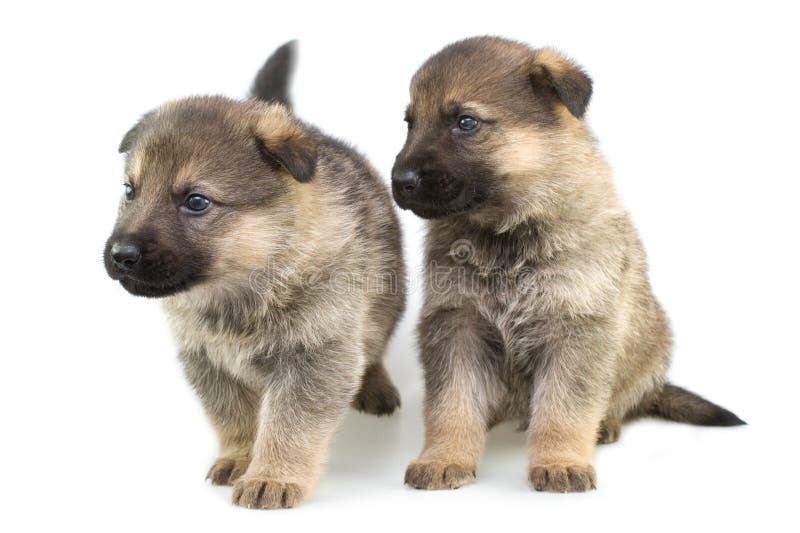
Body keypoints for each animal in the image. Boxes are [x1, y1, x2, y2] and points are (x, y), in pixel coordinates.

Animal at [104, 41, 406, 508]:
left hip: (386, 304)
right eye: (130, 191)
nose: (120, 255)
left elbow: (290, 424)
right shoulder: (207, 361)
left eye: (196, 201)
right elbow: (234, 417)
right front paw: (241, 458)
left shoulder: (316, 356)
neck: (243, 287)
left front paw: (273, 477)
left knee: (372, 347)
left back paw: (375, 386)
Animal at [394, 37, 744, 492]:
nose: (400, 181)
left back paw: (604, 425)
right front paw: (444, 457)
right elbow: (451, 403)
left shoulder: (575, 330)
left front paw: (560, 461)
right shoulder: (457, 324)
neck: (509, 231)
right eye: (409, 123)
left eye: (465, 123)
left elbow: (564, 407)